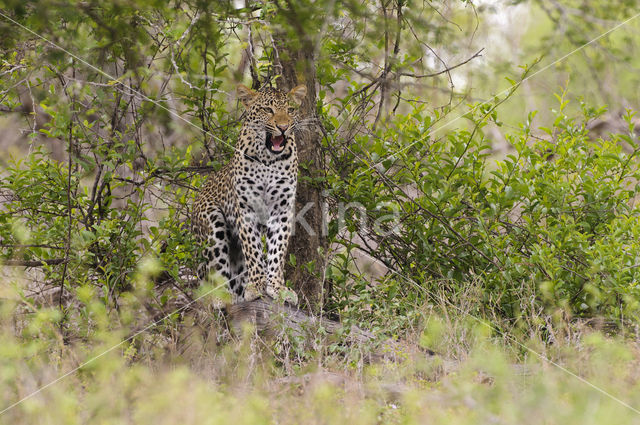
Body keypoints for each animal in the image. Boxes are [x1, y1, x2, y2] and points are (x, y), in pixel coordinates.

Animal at [191, 83, 306, 304]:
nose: (283, 127)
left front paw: (277, 287)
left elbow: (277, 251)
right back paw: (222, 297)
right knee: (216, 271)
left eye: (290, 110)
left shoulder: (281, 210)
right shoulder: (246, 209)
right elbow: (253, 250)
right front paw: (256, 286)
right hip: (212, 226)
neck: (269, 159)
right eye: (268, 110)